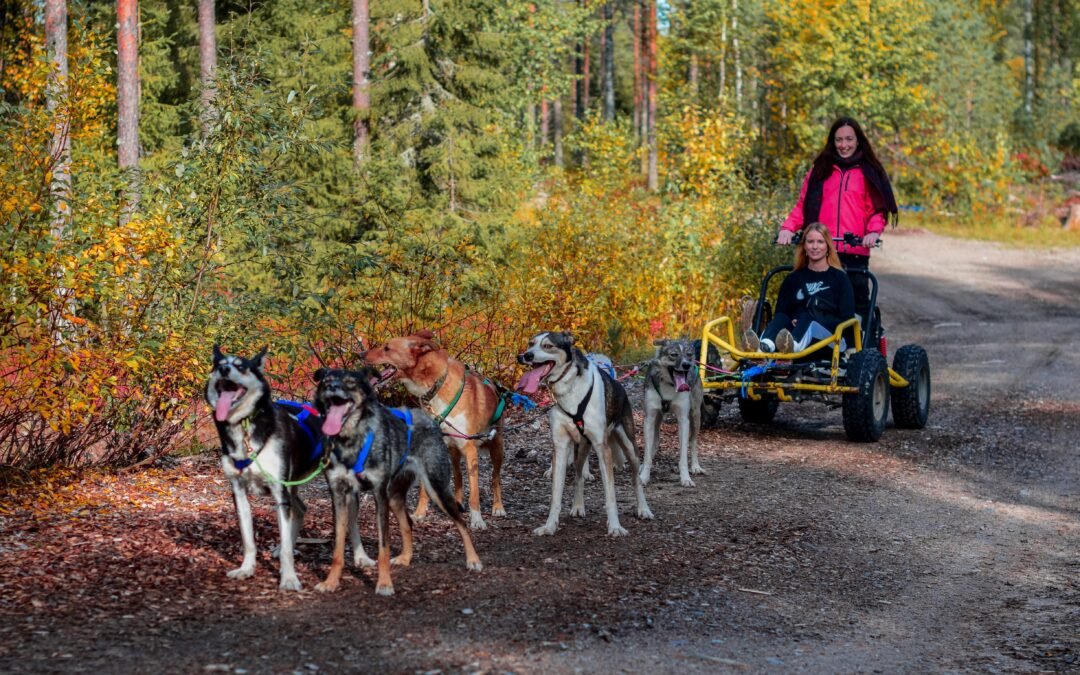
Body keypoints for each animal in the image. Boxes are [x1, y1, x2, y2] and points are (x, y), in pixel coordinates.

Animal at [313, 369, 481, 596]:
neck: (350, 440)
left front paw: (384, 583)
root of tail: (430, 420)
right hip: (394, 496)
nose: (332, 387)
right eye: (327, 381)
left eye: (350, 382)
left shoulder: (379, 496)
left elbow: (384, 546)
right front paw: (331, 581)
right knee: (407, 523)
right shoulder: (339, 495)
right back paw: (406, 557)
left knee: (461, 522)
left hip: (436, 488)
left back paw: (473, 560)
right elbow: (338, 547)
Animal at [365, 328, 507, 529]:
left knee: (495, 478)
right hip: (453, 451)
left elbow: (475, 492)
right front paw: (420, 513)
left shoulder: (470, 448)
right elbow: (425, 489)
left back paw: (498, 507)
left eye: (387, 348)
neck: (436, 386)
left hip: (497, 446)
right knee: (458, 477)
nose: (361, 354)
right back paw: (457, 502)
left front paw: (477, 520)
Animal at [516, 332, 652, 537]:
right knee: (579, 475)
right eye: (530, 344)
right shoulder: (561, 446)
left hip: (630, 447)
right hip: (580, 449)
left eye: (548, 346)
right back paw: (578, 506)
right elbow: (556, 495)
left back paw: (643, 509)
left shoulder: (602, 448)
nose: (525, 356)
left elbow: (610, 495)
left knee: (636, 479)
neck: (570, 390)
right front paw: (550, 525)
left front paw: (615, 526)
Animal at [639, 339, 708, 486]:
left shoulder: (683, 420)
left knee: (693, 442)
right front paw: (643, 476)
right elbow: (647, 454)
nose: (687, 365)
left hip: (696, 417)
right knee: (655, 442)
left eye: (689, 354)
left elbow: (683, 455)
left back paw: (695, 466)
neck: (669, 386)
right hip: (657, 420)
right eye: (674, 355)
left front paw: (686, 478)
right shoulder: (649, 419)